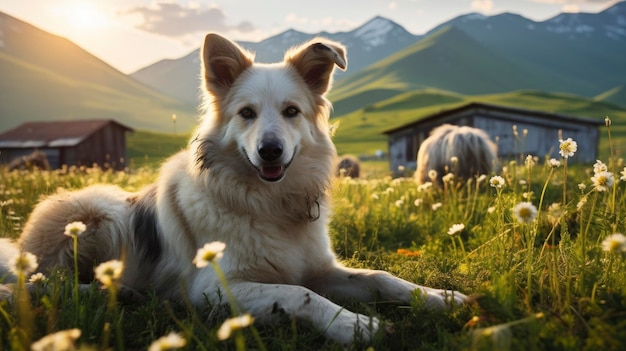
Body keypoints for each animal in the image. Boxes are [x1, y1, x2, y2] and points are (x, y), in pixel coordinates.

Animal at [0, 32, 466, 344]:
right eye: (246, 113)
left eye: (291, 111)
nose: (270, 151)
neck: (269, 204)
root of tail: (20, 247)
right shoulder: (214, 289)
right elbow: (301, 295)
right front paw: (356, 324)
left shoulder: (321, 269)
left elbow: (382, 277)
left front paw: (438, 297)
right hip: (99, 207)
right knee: (31, 287)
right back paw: (114, 291)